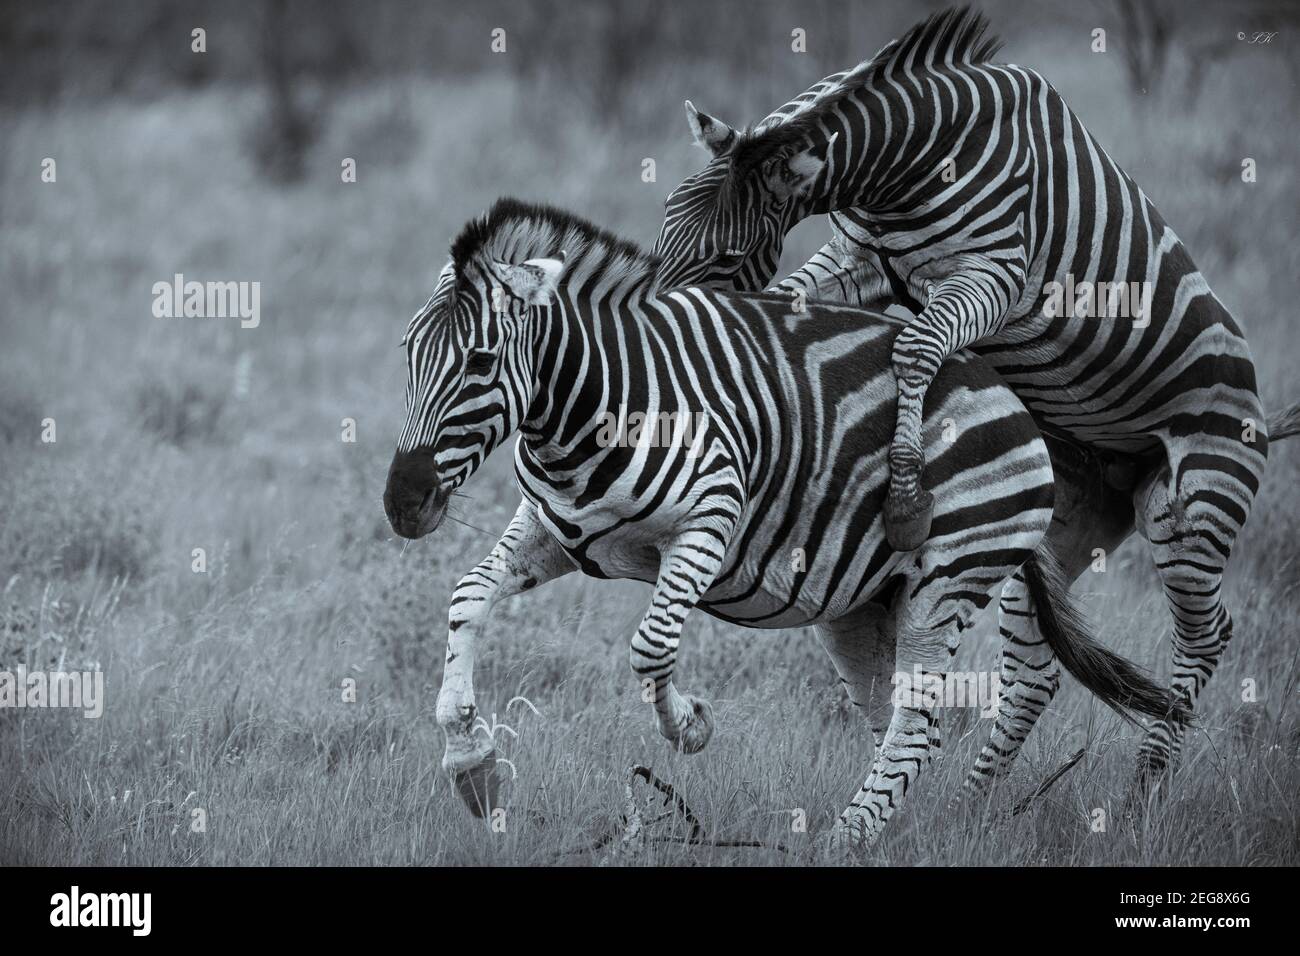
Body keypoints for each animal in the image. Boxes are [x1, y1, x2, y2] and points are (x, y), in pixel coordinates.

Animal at [381, 198, 1184, 847]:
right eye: (409, 351)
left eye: (481, 361)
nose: (401, 503)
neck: (598, 406)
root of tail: (1019, 408)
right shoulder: (555, 534)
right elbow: (466, 599)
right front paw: (472, 766)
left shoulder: (707, 525)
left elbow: (650, 647)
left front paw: (691, 725)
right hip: (864, 604)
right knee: (902, 721)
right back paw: (898, 830)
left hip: (952, 571)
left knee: (918, 720)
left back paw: (844, 839)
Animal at [651, 6, 1296, 803]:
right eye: (664, 224)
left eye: (724, 260)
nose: (650, 330)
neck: (910, 160)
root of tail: (1259, 413)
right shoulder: (858, 259)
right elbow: (802, 302)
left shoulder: (997, 275)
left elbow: (917, 346)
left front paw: (904, 501)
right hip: (1069, 522)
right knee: (1038, 668)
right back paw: (974, 805)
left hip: (1195, 505)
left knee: (1207, 636)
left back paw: (1143, 786)